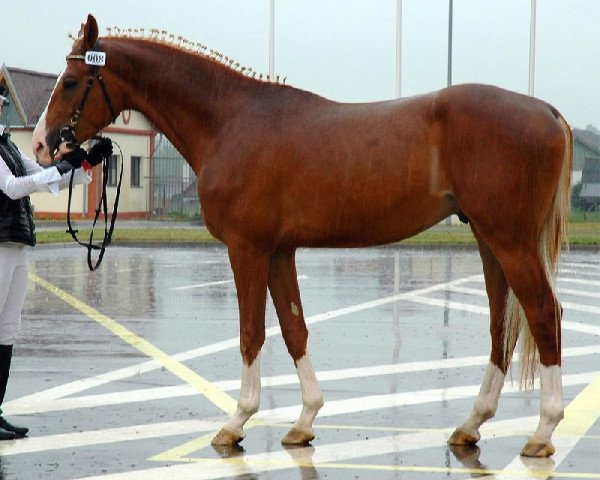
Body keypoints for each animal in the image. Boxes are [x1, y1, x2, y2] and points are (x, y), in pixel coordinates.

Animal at [32, 15, 572, 458]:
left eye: (73, 80)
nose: (40, 145)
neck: (231, 121)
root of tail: (547, 111)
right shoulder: (279, 252)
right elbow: (294, 328)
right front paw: (305, 420)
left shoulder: (247, 249)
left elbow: (252, 333)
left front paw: (237, 422)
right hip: (489, 239)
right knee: (502, 325)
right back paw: (471, 425)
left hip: (510, 242)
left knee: (544, 314)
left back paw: (543, 431)